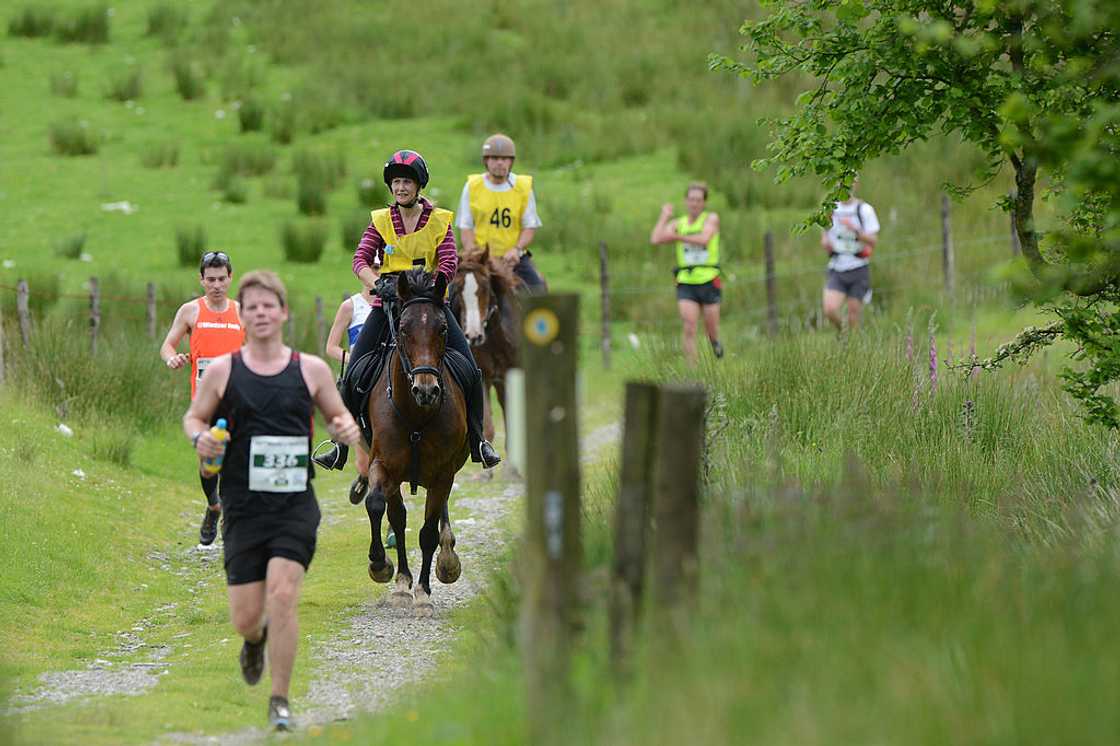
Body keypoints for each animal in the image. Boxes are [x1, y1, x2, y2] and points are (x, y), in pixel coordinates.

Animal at [365, 269, 465, 613]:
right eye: (404, 329)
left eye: (443, 328)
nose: (426, 390)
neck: (416, 415)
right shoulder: (383, 465)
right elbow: (379, 506)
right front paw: (381, 567)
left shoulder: (443, 474)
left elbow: (427, 532)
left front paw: (423, 593)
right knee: (397, 516)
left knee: (438, 519)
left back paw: (447, 560)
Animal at [448, 246, 521, 452]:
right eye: (457, 290)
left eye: (485, 288)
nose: (473, 336)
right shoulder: (483, 379)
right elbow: (487, 430)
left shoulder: (511, 375)